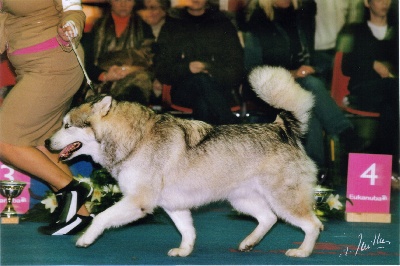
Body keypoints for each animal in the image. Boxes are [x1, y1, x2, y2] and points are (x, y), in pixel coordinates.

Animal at [46, 66, 322, 258]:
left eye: (67, 126)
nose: (47, 142)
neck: (136, 139)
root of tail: (282, 127)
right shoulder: (173, 205)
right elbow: (187, 231)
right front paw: (185, 251)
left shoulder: (139, 202)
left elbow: (101, 217)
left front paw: (86, 238)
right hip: (242, 199)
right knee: (269, 219)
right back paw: (248, 243)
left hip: (284, 201)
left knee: (313, 225)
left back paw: (302, 252)